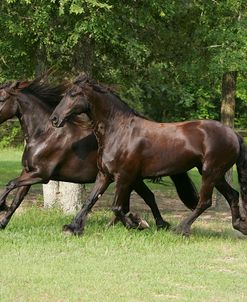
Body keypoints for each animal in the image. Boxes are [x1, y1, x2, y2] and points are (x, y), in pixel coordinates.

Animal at [0, 78, 199, 229]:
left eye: (1, 99)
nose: (55, 119)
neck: (44, 134)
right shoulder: (28, 171)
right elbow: (17, 198)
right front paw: (3, 222)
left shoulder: (41, 175)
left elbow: (10, 184)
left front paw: (1, 206)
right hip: (133, 179)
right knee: (140, 199)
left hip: (130, 178)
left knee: (141, 199)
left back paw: (144, 223)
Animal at [49, 75, 247, 236]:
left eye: (74, 94)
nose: (54, 119)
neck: (119, 132)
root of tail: (234, 134)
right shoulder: (105, 175)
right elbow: (90, 201)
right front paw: (73, 228)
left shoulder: (124, 177)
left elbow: (117, 207)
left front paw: (137, 224)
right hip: (216, 174)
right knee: (233, 195)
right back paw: (240, 226)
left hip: (210, 172)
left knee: (205, 202)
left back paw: (182, 229)